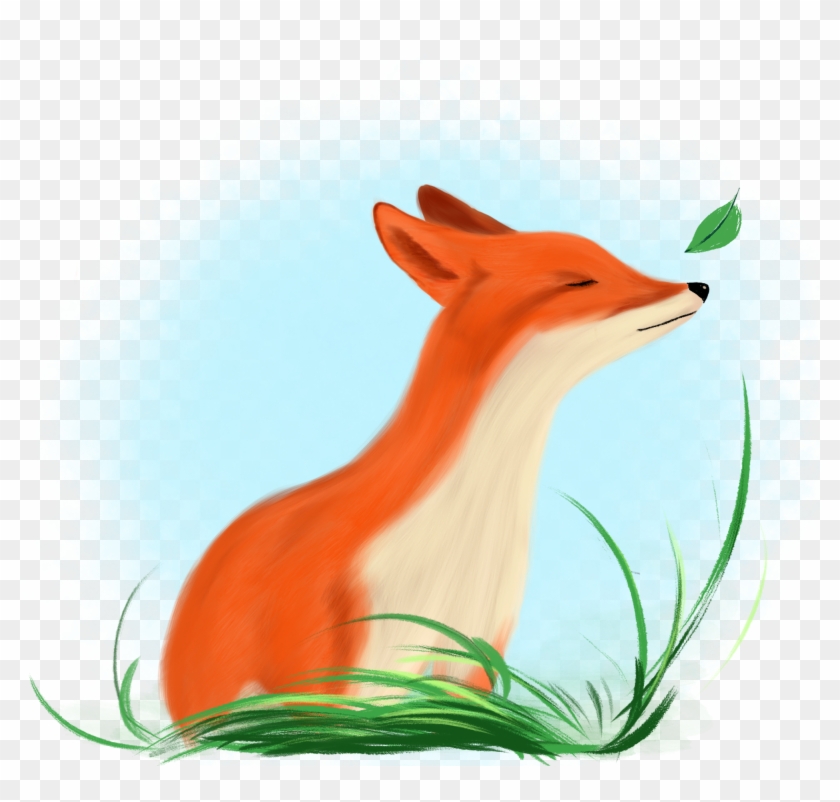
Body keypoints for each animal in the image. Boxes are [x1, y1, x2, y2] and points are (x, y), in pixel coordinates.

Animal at [160, 185, 709, 724]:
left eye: (615, 259)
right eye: (580, 281)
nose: (699, 286)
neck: (458, 531)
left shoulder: (474, 648)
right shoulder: (340, 665)